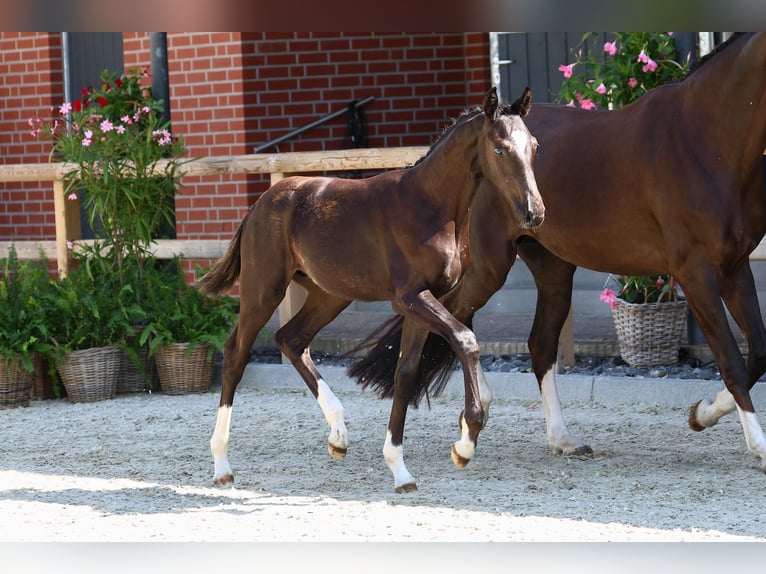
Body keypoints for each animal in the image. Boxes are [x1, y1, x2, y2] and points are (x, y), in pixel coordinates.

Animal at [198, 88, 544, 492]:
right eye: (500, 148)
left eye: (534, 146)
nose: (535, 213)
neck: (429, 206)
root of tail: (259, 204)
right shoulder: (409, 298)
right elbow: (465, 340)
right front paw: (465, 443)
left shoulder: (422, 301)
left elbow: (405, 373)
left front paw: (400, 469)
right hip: (263, 290)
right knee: (236, 352)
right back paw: (221, 464)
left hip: (330, 295)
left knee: (291, 339)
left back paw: (338, 435)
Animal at [352, 33, 766, 486]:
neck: (702, 140)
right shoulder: (696, 274)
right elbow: (731, 360)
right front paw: (758, 446)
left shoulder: (734, 268)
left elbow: (758, 354)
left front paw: (703, 413)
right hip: (489, 267)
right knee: (454, 318)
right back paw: (470, 425)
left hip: (553, 269)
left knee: (538, 344)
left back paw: (560, 439)